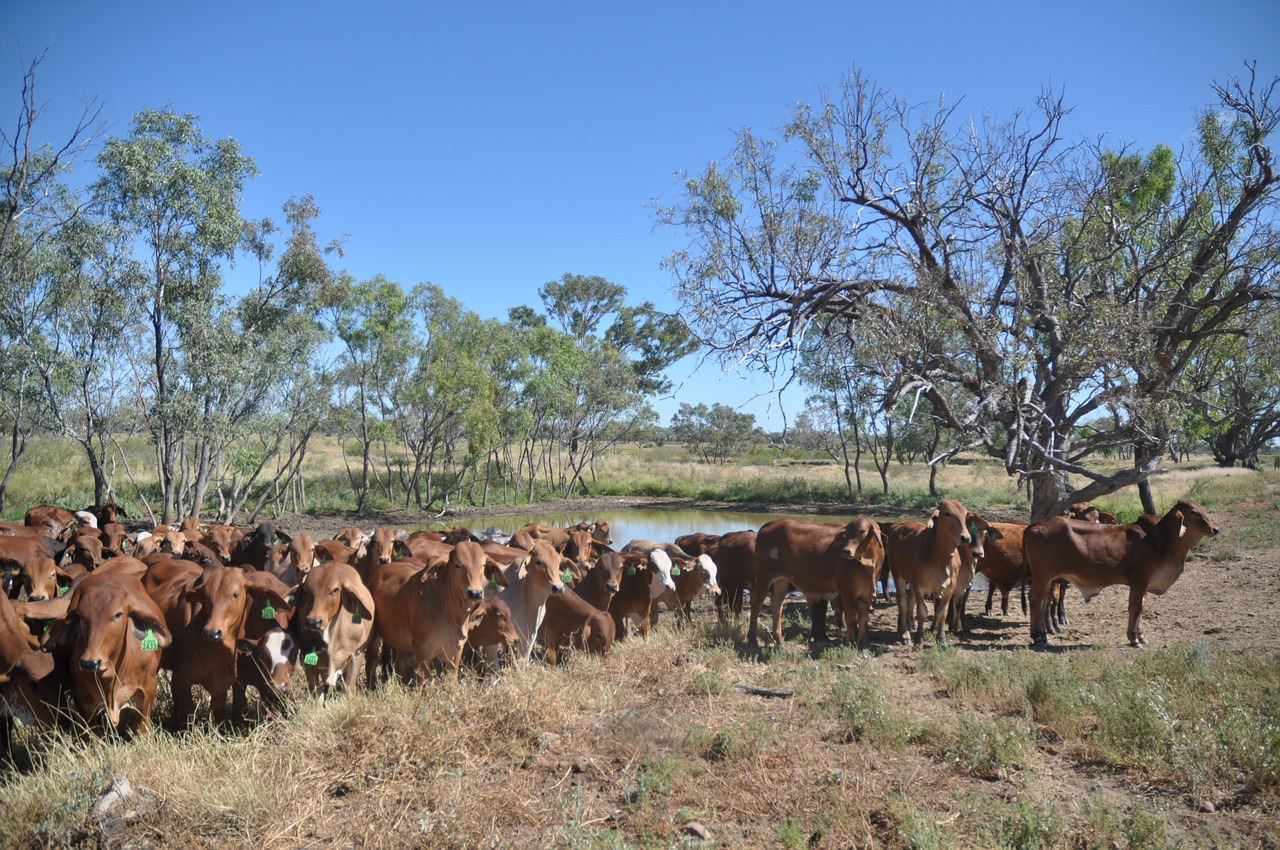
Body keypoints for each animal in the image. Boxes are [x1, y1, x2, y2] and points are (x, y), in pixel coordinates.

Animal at [747, 514, 880, 647]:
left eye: (862, 531)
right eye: (846, 534)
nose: (846, 551)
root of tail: (767, 525)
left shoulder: (865, 594)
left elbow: (863, 620)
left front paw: (863, 644)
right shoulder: (848, 592)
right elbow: (850, 618)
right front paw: (848, 642)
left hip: (781, 579)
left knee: (777, 602)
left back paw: (778, 639)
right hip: (764, 576)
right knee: (756, 600)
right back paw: (752, 639)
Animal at [1018, 499, 1218, 645]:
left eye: (1202, 509)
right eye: (1192, 512)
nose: (1215, 529)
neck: (1160, 540)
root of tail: (1036, 524)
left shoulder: (1145, 585)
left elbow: (1142, 607)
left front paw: (1141, 635)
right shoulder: (1138, 582)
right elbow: (1135, 608)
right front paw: (1134, 639)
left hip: (1048, 578)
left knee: (1043, 600)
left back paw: (1042, 633)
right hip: (1043, 576)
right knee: (1036, 599)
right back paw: (1039, 637)